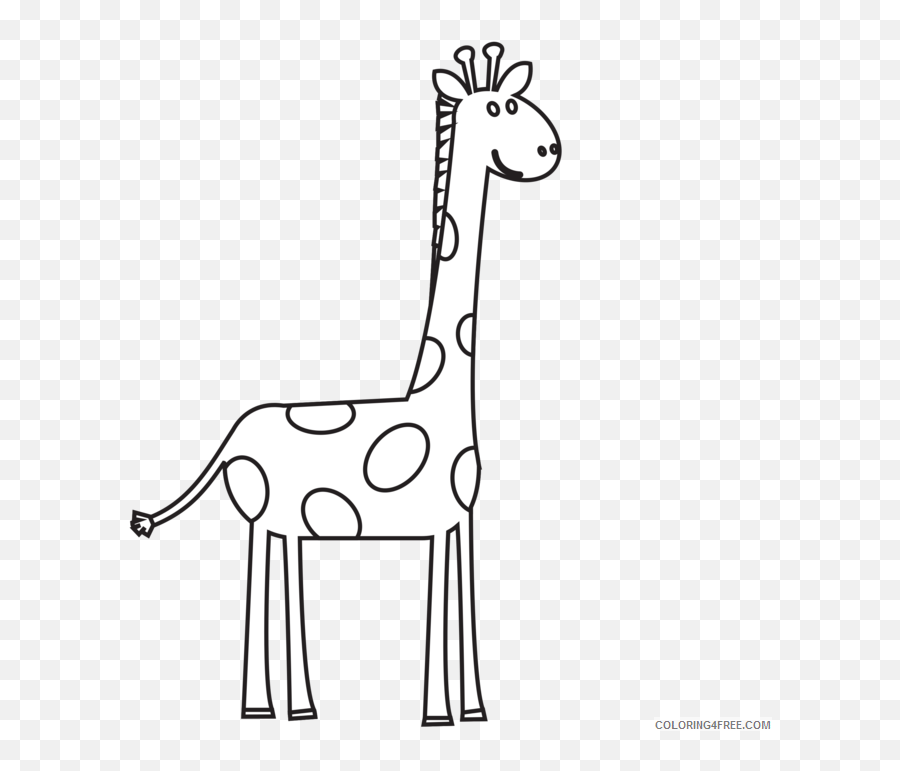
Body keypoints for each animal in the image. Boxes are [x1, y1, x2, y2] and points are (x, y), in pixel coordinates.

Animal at [129, 42, 561, 726]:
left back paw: (282, 706)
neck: (436, 398)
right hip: (273, 511)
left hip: (277, 517)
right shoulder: (432, 521)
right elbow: (438, 608)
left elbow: (462, 603)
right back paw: (279, 708)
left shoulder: (459, 521)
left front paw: (474, 711)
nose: (549, 150)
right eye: (499, 107)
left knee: (273, 570)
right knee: (269, 576)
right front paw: (435, 715)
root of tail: (230, 439)